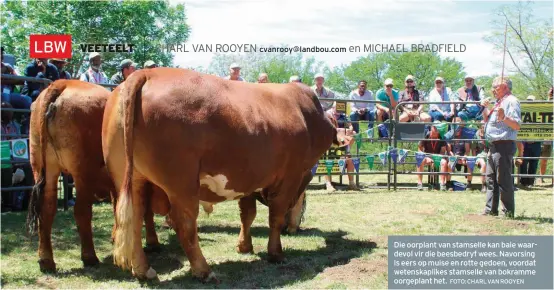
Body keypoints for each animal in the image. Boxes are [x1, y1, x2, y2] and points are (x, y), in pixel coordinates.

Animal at [26, 79, 168, 272]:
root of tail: (63, 83)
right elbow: (145, 210)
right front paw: (152, 242)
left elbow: (118, 206)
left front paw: (117, 236)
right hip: (83, 172)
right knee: (81, 211)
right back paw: (89, 257)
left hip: (43, 167)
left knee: (46, 209)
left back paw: (46, 260)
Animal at [101, 68, 352, 280]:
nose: (295, 228)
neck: (309, 117)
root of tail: (146, 73)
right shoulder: (290, 177)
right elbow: (276, 215)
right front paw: (276, 253)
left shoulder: (249, 178)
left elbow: (247, 214)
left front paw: (244, 247)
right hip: (182, 183)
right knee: (184, 223)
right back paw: (203, 270)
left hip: (131, 179)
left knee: (132, 220)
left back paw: (143, 270)